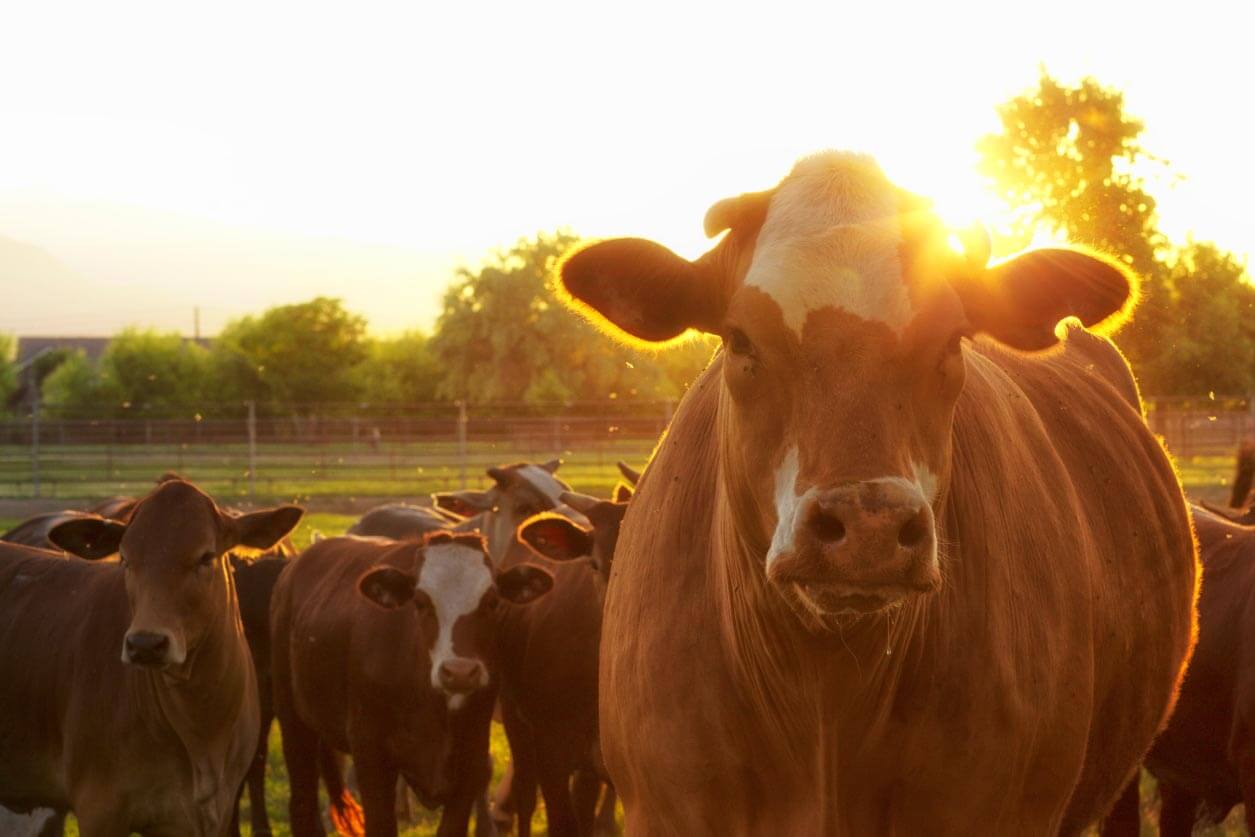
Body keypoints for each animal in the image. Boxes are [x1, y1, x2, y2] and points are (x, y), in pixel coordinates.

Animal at [277, 534, 557, 833]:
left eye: (492, 601)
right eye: (421, 602)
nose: (459, 672)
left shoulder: (470, 763)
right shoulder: (371, 756)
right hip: (293, 723)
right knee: (302, 804)